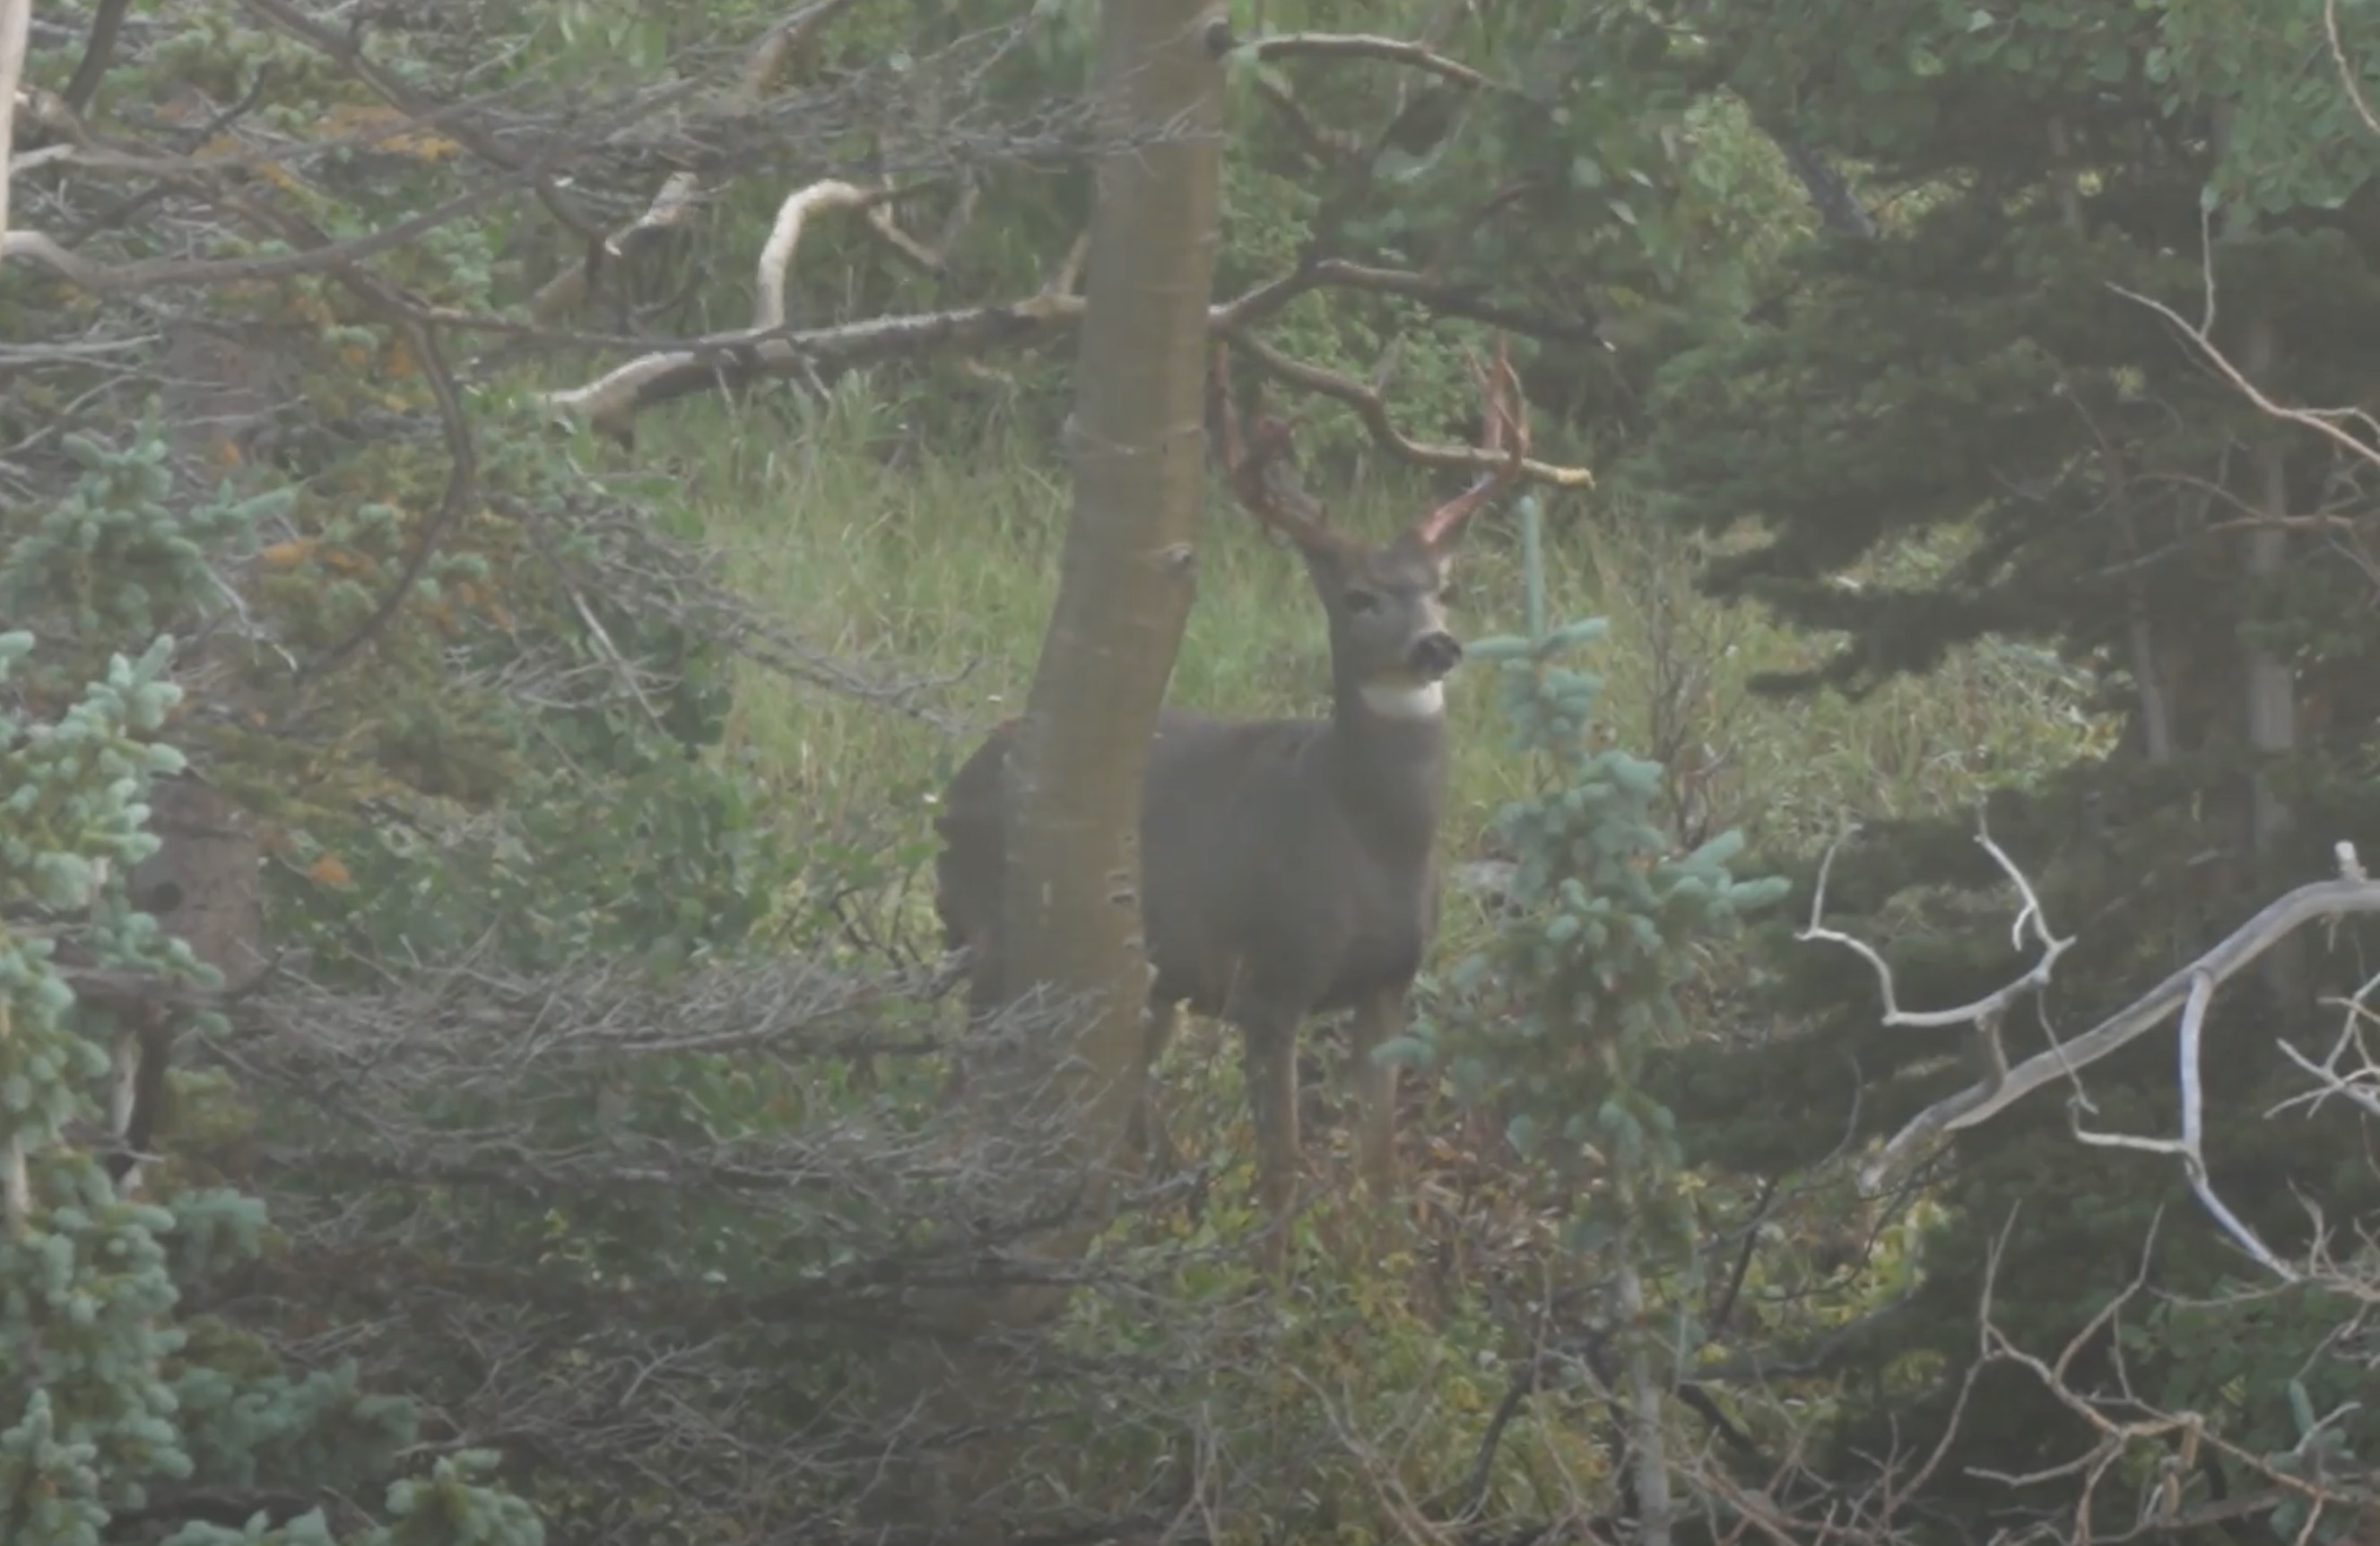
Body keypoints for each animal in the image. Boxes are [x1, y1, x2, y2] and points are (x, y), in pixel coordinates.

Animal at [931, 338, 1529, 1230]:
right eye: (1360, 596)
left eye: (1441, 589)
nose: (1437, 645)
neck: (1363, 837)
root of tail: (953, 791)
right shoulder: (1268, 982)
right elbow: (1281, 1170)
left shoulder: (1390, 983)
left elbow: (1381, 1166)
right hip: (989, 940)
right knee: (962, 1090)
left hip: (1141, 982)